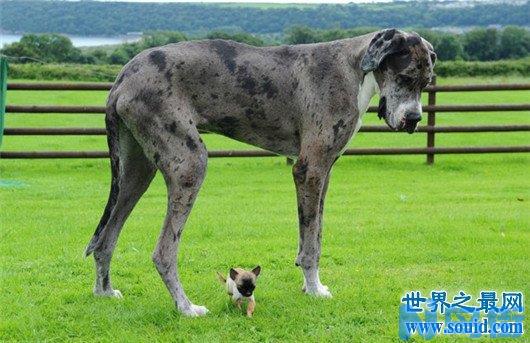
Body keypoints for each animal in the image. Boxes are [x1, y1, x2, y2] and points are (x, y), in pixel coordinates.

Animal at [85, 28, 434, 318]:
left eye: (426, 82)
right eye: (405, 76)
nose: (414, 119)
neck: (354, 68)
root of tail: (124, 74)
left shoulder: (325, 172)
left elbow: (316, 235)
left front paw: (312, 286)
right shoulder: (309, 169)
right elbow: (310, 244)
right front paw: (314, 289)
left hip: (135, 174)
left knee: (105, 239)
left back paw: (104, 293)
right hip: (189, 164)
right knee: (163, 252)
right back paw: (186, 308)